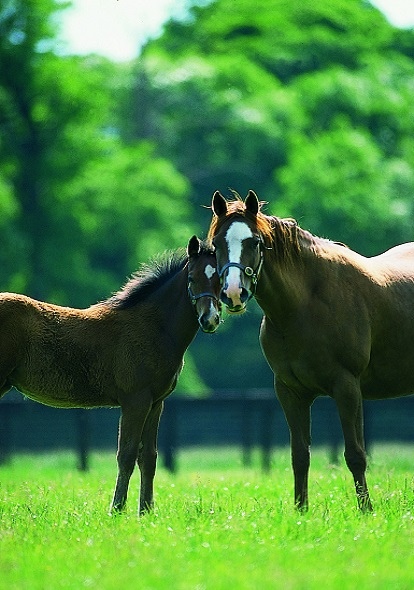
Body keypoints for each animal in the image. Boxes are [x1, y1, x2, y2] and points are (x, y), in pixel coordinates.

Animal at [0, 236, 222, 512]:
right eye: (191, 278)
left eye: (221, 279)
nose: (210, 319)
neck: (154, 326)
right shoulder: (135, 399)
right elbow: (126, 454)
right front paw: (117, 509)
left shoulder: (156, 402)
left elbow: (149, 457)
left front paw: (146, 511)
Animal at [209, 191, 414, 512]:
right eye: (216, 244)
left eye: (254, 242)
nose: (233, 293)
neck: (304, 305)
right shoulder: (290, 392)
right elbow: (300, 456)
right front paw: (300, 511)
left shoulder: (347, 387)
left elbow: (355, 455)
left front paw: (366, 510)